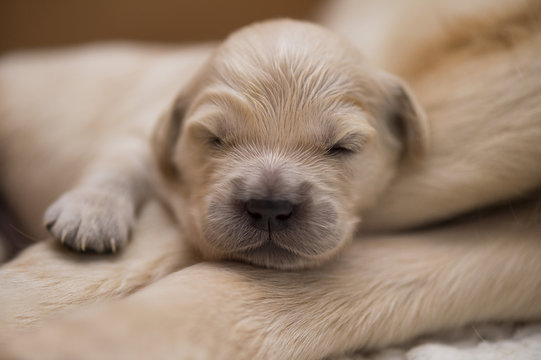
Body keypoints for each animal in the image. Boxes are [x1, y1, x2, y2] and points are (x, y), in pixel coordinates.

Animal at [40, 18, 426, 268]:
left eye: (342, 146)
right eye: (215, 139)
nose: (269, 207)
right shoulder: (144, 131)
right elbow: (120, 161)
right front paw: (90, 212)